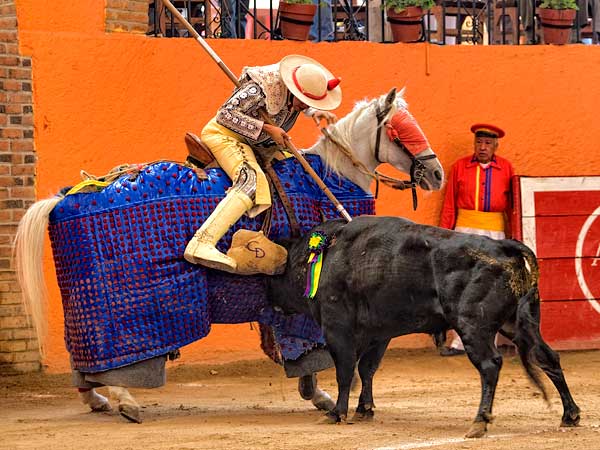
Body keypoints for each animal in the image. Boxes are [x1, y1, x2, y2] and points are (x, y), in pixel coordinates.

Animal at [15, 88, 446, 422]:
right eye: (400, 129)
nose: (437, 173)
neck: (331, 177)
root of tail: (63, 198)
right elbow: (314, 349)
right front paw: (325, 396)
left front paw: (322, 396)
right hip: (128, 309)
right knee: (120, 357)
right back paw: (125, 401)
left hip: (82, 310)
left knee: (82, 362)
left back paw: (98, 399)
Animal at [268, 216, 580, 438]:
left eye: (276, 275)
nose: (271, 302)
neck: (325, 254)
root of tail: (504, 247)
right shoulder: (379, 334)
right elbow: (367, 370)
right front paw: (364, 410)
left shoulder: (337, 328)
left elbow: (345, 372)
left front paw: (336, 413)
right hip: (517, 323)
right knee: (547, 357)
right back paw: (570, 415)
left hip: (474, 327)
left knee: (490, 366)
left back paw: (479, 422)